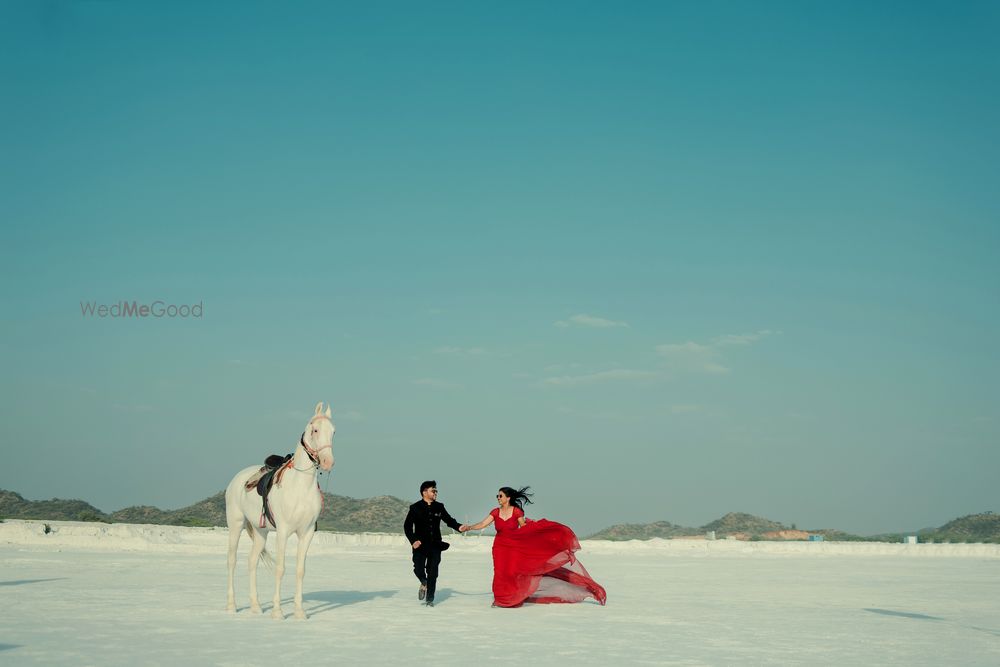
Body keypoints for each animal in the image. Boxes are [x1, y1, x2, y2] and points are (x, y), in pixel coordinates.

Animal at [226, 402, 336, 620]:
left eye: (333, 432)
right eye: (315, 430)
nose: (328, 462)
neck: (300, 487)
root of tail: (237, 479)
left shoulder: (306, 532)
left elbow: (300, 570)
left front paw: (299, 612)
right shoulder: (283, 531)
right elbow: (280, 568)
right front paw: (277, 612)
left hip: (260, 532)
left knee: (252, 561)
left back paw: (256, 606)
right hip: (235, 524)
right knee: (232, 561)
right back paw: (231, 606)